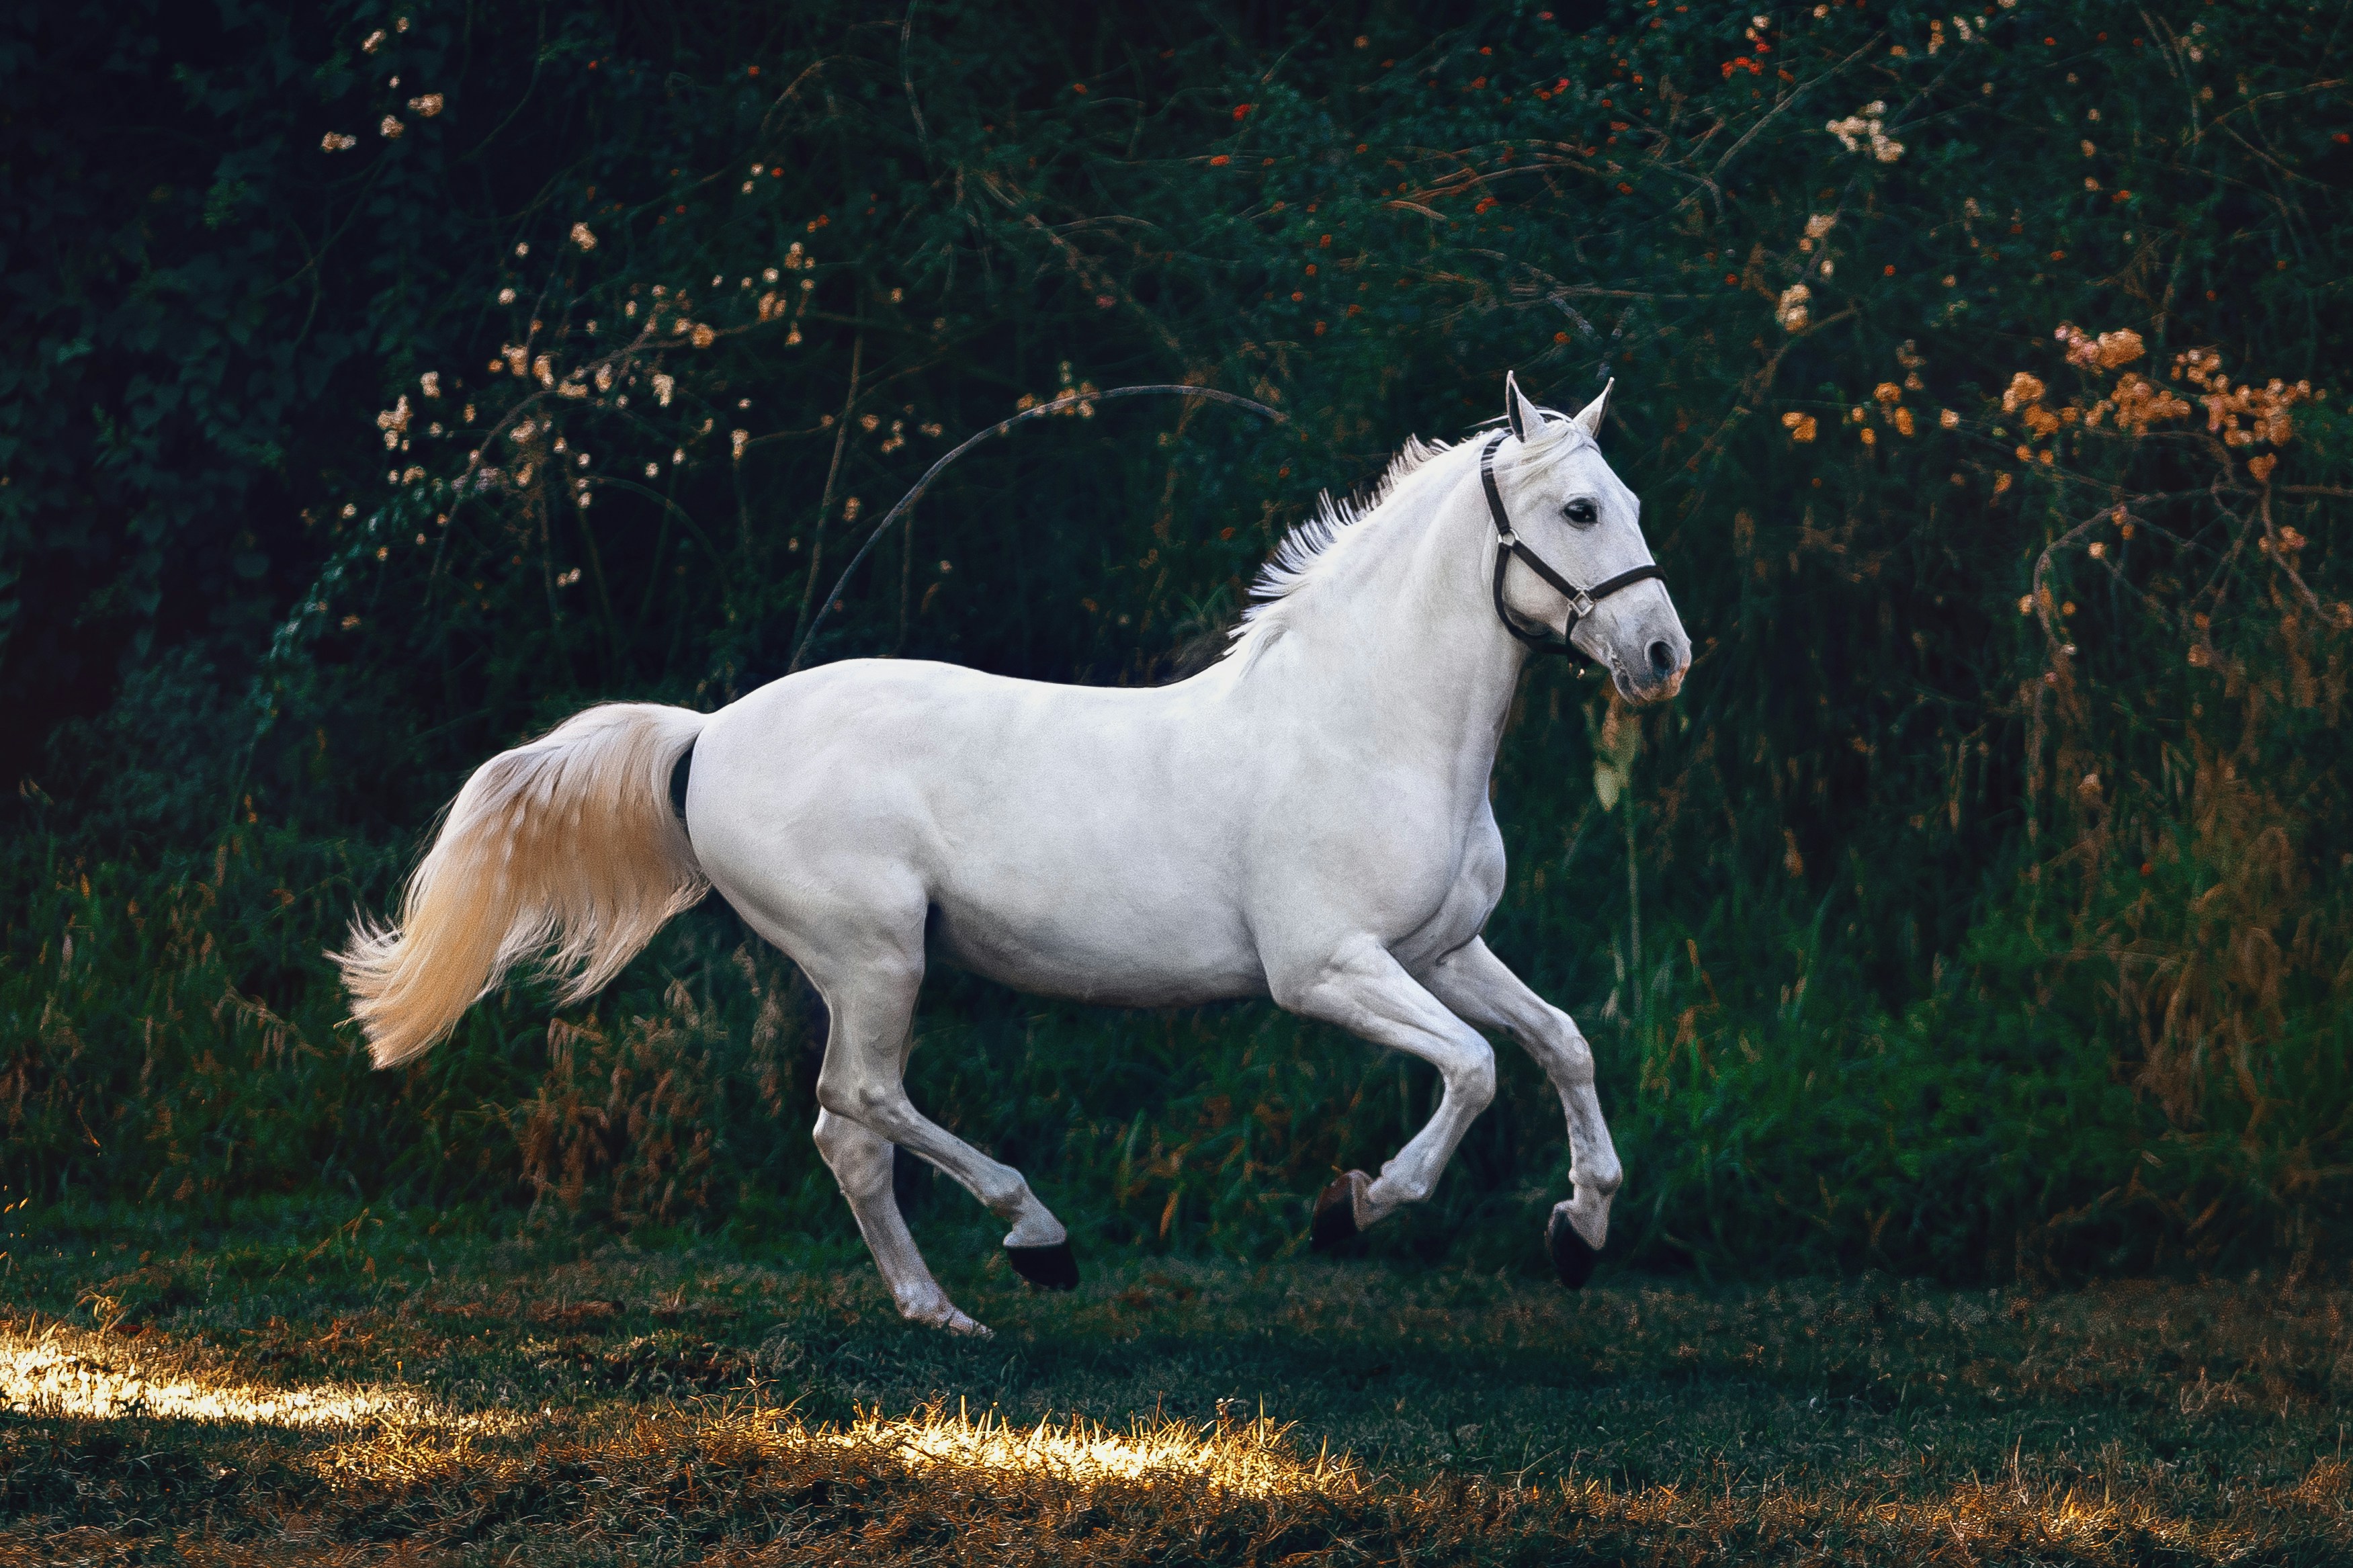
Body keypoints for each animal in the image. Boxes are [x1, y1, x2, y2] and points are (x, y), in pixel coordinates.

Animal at [341, 372, 1684, 1327]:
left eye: (1628, 502)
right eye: (1578, 509)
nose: (1663, 655)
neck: (1367, 724)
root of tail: (707, 733)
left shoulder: (1442, 949)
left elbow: (1560, 1042)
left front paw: (1579, 1230)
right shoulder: (1327, 969)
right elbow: (1474, 1069)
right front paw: (1352, 1207)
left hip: (870, 967)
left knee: (847, 1134)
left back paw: (941, 1310)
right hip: (874, 955)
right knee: (859, 1102)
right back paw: (1034, 1238)